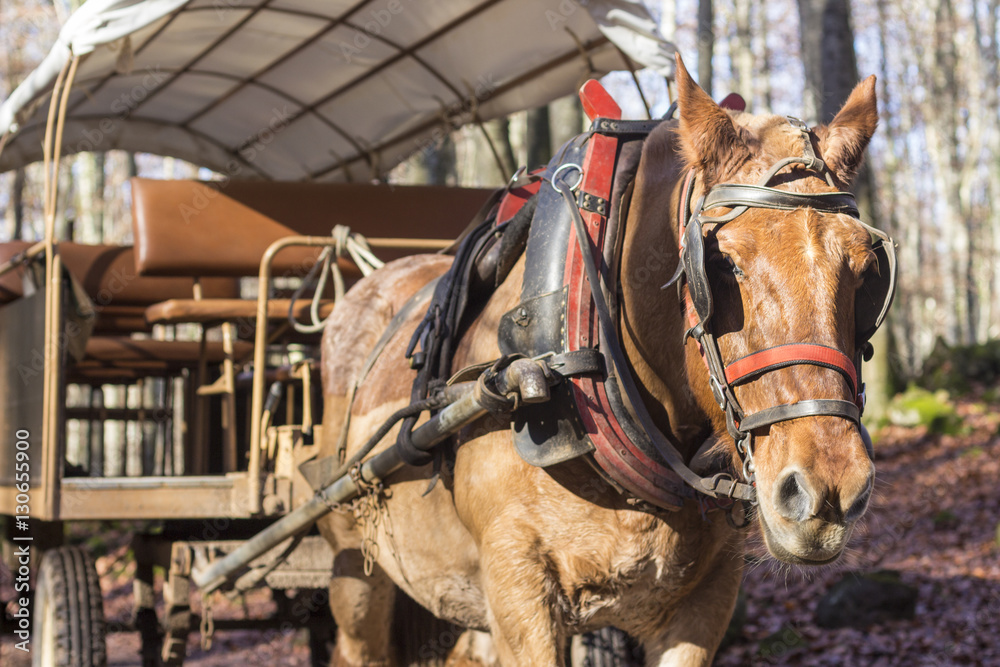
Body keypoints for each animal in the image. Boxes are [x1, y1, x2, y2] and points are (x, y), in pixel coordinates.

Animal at [316, 58, 880, 667]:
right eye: (723, 265)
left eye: (867, 270)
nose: (829, 492)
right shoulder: (517, 592)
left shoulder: (705, 602)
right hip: (356, 573)